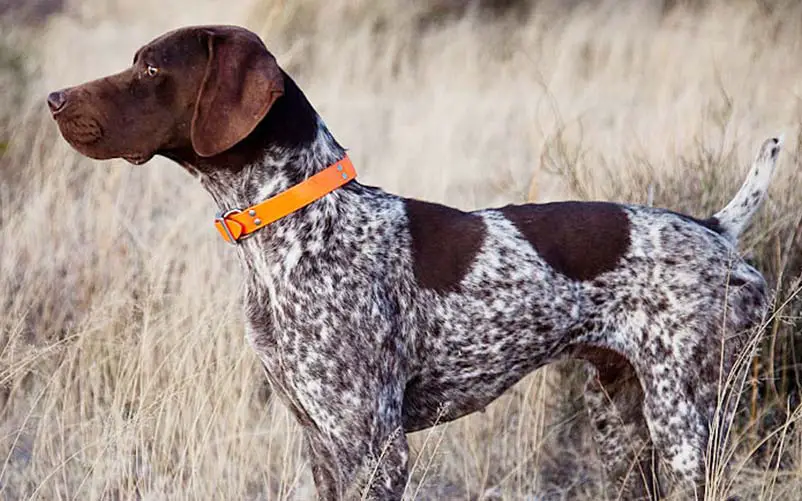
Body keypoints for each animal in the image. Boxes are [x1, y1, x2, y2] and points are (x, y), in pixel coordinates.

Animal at [48, 24, 776, 500]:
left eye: (150, 69)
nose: (53, 98)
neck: (300, 226)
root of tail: (714, 229)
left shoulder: (375, 445)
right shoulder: (322, 440)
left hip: (685, 422)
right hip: (623, 423)